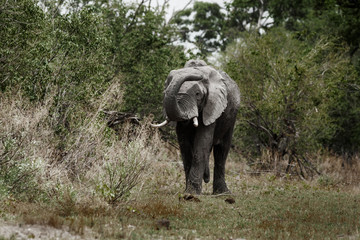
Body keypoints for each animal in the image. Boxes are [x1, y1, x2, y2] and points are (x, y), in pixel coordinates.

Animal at [150, 59, 240, 195]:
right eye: (165, 93)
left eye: (197, 94)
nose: (196, 73)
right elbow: (185, 148)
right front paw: (188, 191)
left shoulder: (212, 107)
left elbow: (202, 143)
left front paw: (192, 193)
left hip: (232, 116)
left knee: (222, 150)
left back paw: (222, 193)